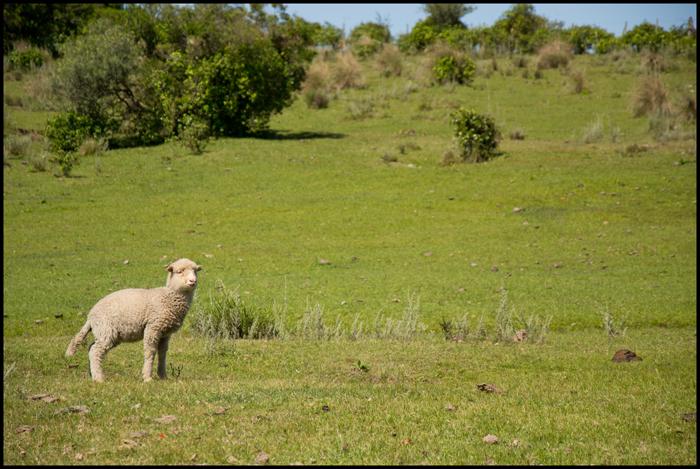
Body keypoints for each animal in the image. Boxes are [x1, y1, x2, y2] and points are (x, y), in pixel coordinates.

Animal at [65, 258, 202, 382]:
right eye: (179, 271)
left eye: (195, 271)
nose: (193, 281)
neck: (168, 297)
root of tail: (91, 315)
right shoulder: (153, 327)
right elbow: (150, 352)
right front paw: (147, 377)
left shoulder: (165, 333)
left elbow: (162, 353)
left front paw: (163, 376)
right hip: (106, 330)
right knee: (95, 351)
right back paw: (99, 378)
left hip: (107, 333)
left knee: (91, 347)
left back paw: (92, 374)